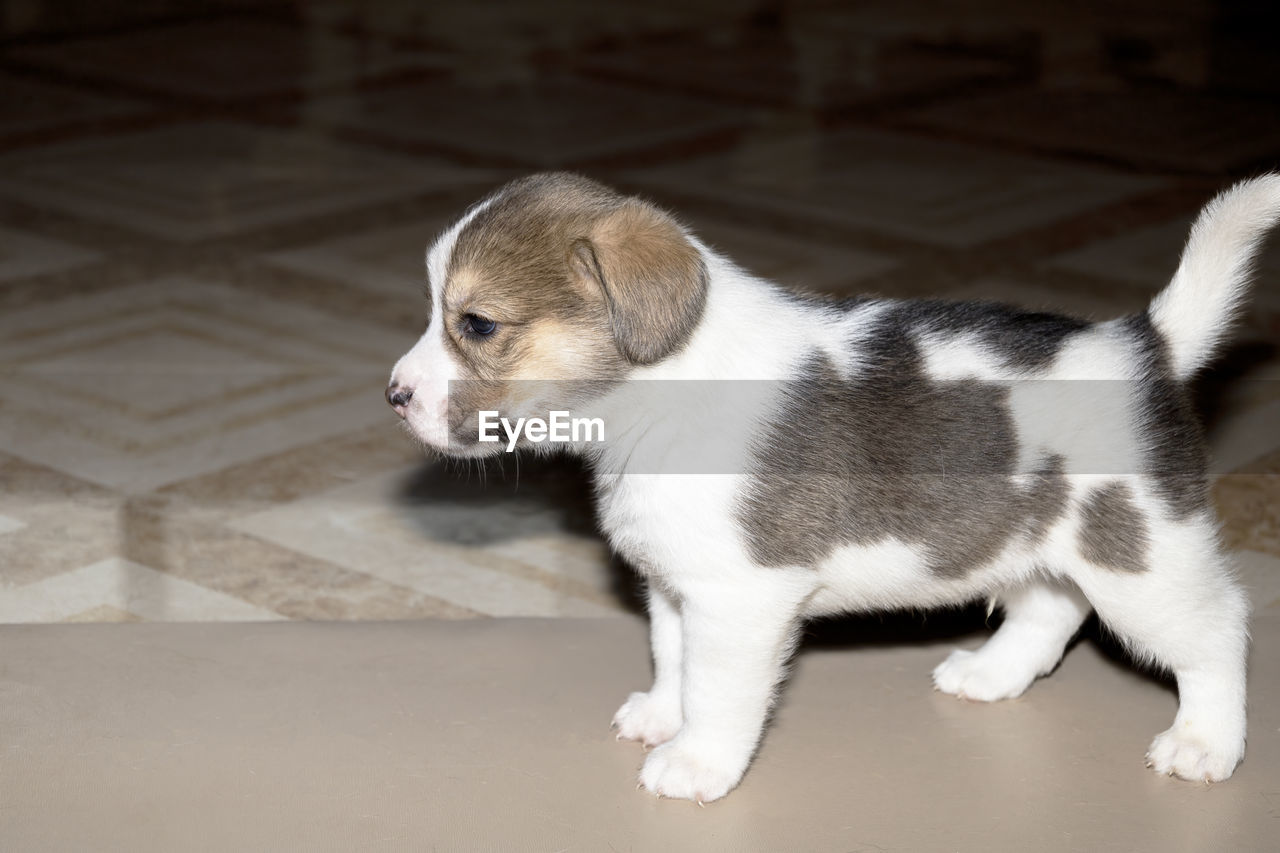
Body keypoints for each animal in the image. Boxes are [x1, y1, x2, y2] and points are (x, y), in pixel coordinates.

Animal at [384, 171, 1274, 799]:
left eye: (476, 324)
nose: (394, 395)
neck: (660, 386)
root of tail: (1146, 342)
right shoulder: (677, 585)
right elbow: (672, 659)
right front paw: (662, 716)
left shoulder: (740, 601)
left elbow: (717, 690)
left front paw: (696, 762)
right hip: (1033, 540)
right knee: (1051, 609)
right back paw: (990, 675)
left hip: (1142, 557)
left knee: (1216, 632)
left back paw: (1206, 742)